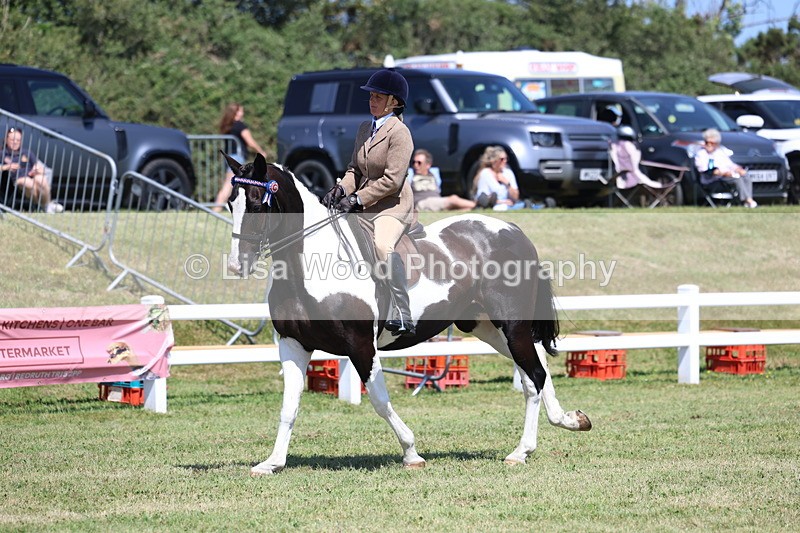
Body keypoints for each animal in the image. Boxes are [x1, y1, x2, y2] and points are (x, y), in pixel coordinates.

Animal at [224, 153, 591, 475]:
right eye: (231, 203)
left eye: (257, 203)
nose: (237, 265)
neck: (310, 266)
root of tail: (513, 230)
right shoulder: (293, 343)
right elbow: (289, 406)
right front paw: (272, 463)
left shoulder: (360, 345)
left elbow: (379, 400)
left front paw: (412, 453)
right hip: (489, 328)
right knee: (536, 371)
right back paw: (568, 421)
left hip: (511, 326)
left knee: (535, 375)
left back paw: (522, 451)